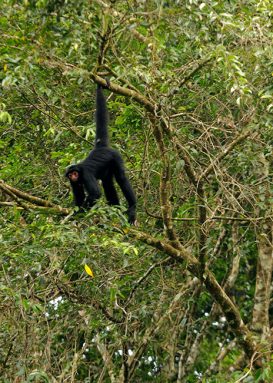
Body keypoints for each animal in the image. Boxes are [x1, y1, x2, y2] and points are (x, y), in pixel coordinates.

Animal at [64, 82, 136, 224]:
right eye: (70, 174)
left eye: (75, 173)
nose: (73, 176)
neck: (79, 175)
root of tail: (100, 147)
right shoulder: (73, 182)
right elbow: (79, 197)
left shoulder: (86, 174)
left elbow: (96, 193)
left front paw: (80, 213)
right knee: (108, 183)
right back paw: (115, 210)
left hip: (115, 156)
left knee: (121, 178)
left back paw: (132, 207)